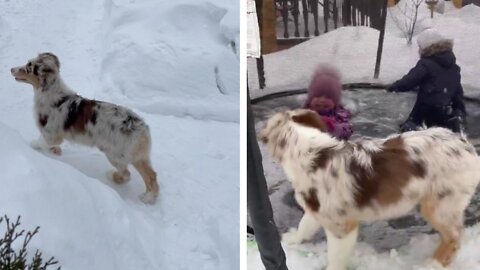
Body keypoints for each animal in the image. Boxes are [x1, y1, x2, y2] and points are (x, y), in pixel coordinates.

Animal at [10, 52, 159, 205]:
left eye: (28, 67)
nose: (11, 69)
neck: (49, 93)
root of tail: (142, 129)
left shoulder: (50, 133)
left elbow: (42, 141)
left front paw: (36, 146)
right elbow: (50, 144)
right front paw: (55, 151)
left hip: (115, 154)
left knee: (127, 174)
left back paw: (116, 178)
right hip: (138, 157)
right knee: (151, 175)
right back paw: (149, 197)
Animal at [260, 108, 478, 268]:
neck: (312, 153)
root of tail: (467, 145)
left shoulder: (342, 227)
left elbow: (336, 258)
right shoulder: (317, 210)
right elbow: (304, 226)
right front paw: (290, 239)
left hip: (440, 205)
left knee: (455, 236)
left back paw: (433, 263)